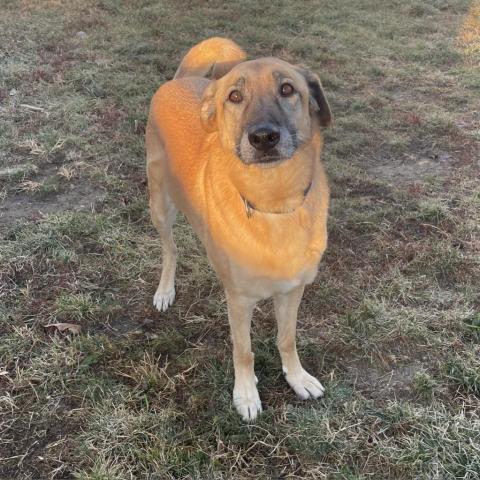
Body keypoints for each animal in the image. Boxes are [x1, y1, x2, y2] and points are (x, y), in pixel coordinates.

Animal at [146, 37, 332, 420]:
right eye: (234, 96)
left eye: (287, 89)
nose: (263, 137)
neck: (274, 202)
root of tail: (175, 82)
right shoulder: (239, 300)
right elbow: (243, 351)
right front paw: (246, 394)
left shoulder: (293, 290)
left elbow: (287, 338)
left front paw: (297, 378)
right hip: (160, 206)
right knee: (170, 249)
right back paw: (165, 290)